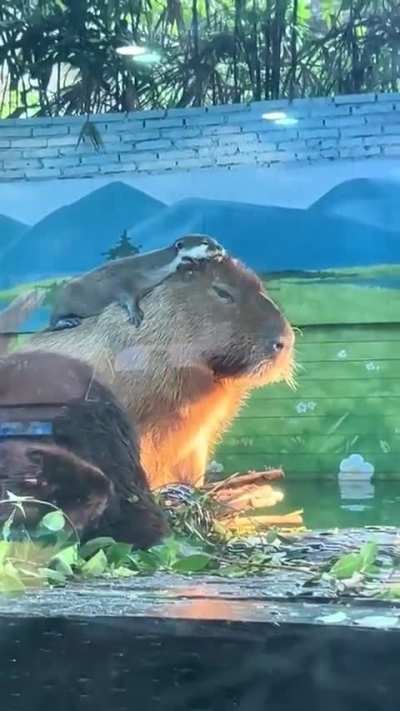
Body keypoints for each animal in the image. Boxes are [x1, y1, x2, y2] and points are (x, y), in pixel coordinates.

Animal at [49, 234, 225, 330]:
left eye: (215, 240)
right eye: (204, 242)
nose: (220, 247)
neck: (146, 270)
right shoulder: (122, 283)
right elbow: (128, 298)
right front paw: (135, 313)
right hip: (63, 303)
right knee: (52, 323)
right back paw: (68, 321)